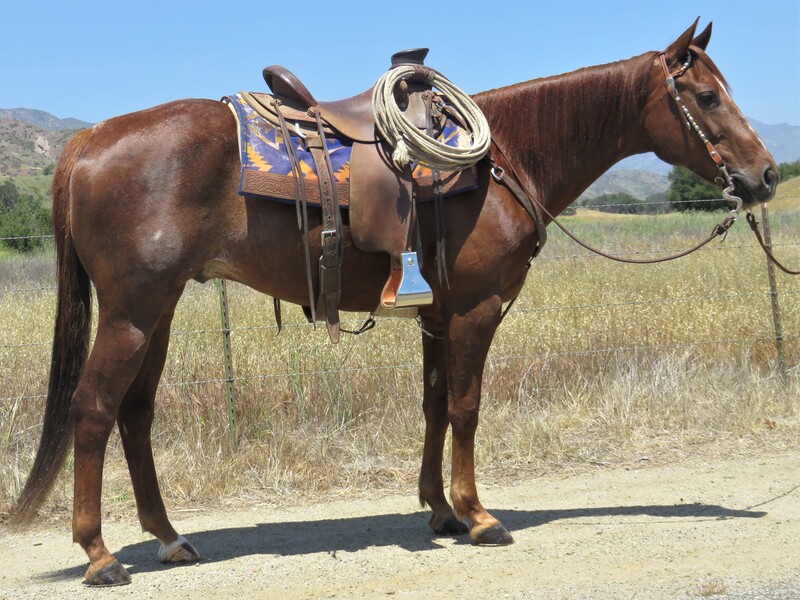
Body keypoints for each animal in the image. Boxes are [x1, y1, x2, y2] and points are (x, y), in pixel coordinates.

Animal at [9, 21, 780, 584]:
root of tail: (86, 140)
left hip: (157, 310)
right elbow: (467, 409)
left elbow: (434, 406)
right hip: (132, 312)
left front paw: (439, 510)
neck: (506, 158)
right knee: (93, 410)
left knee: (135, 416)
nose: (766, 175)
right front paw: (479, 515)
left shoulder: (438, 318)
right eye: (707, 97)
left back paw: (169, 539)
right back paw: (100, 555)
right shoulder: (475, 311)